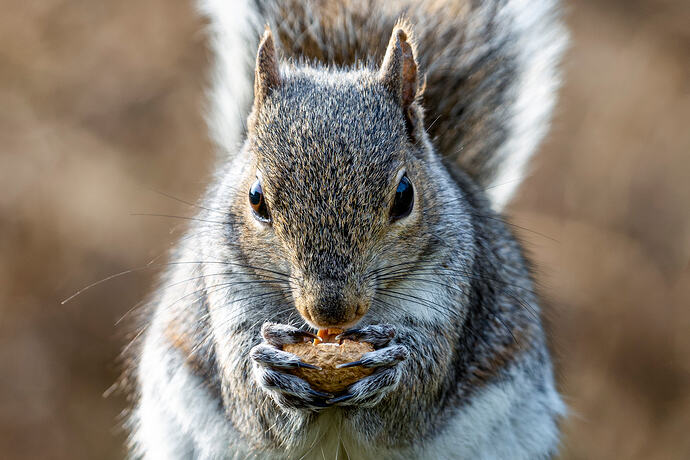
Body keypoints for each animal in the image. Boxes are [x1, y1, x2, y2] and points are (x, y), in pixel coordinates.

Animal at [127, 0, 567, 458]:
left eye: (405, 196)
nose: (330, 311)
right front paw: (271, 370)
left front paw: (391, 371)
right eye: (256, 198)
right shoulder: (227, 288)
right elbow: (252, 403)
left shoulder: (452, 290)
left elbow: (417, 392)